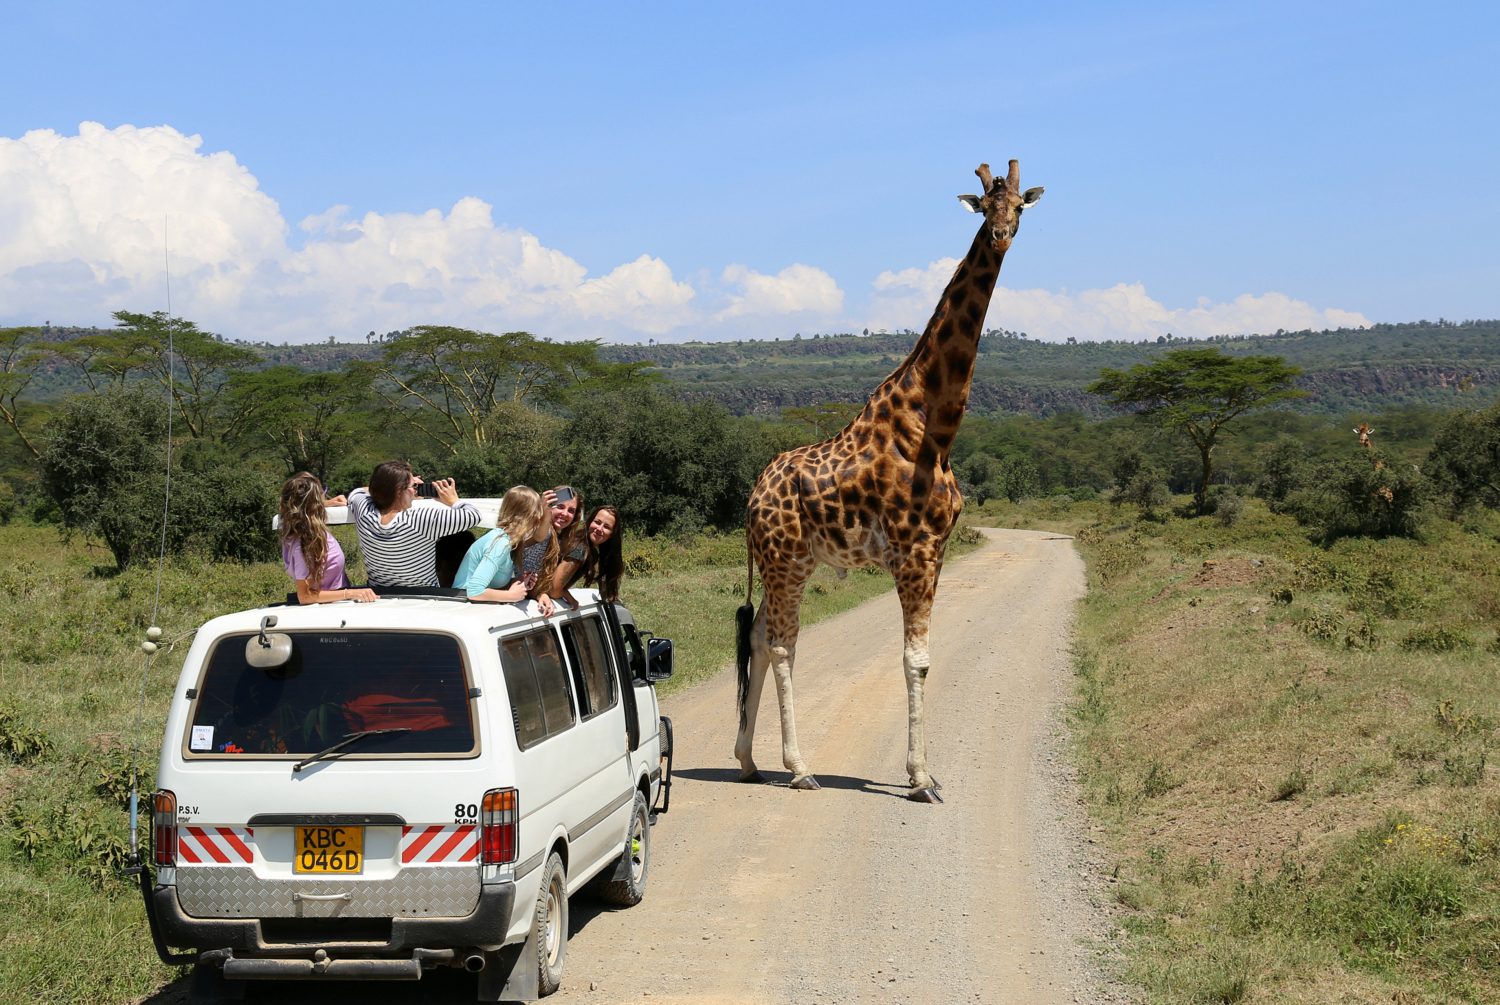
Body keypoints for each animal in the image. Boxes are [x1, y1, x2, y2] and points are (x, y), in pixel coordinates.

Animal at [735, 159, 1044, 804]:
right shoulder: (914, 552)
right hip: (784, 560)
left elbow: (919, 657)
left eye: (1019, 208)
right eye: (984, 205)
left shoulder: (939, 550)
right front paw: (921, 778)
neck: (935, 426)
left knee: (757, 639)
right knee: (781, 644)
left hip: (792, 562)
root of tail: (749, 500)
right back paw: (799, 768)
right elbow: (916, 660)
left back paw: (749, 760)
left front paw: (924, 771)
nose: (1002, 235)